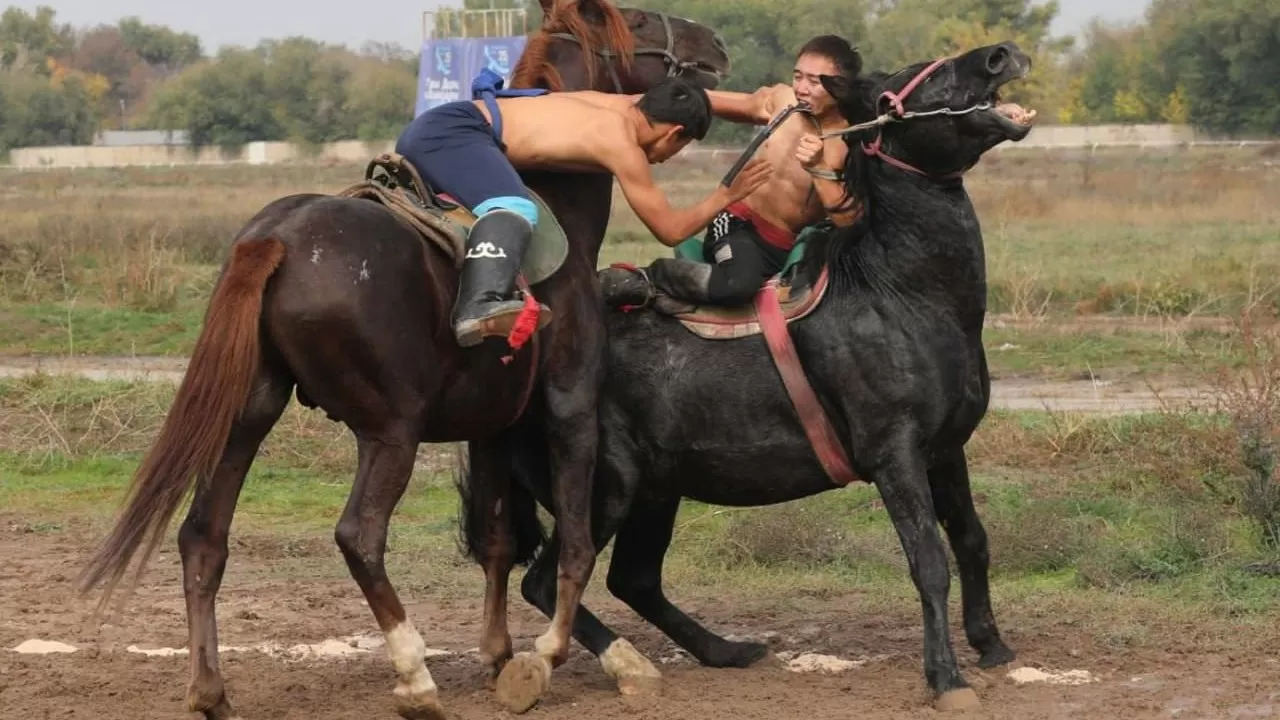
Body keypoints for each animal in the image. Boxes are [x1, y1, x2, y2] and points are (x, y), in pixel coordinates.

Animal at [72, 1, 732, 717]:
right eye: (639, 20)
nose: (715, 41)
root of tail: (277, 237)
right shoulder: (569, 406)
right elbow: (577, 549)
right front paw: (547, 660)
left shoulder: (492, 427)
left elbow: (498, 541)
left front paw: (498, 654)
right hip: (391, 430)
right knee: (359, 535)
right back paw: (415, 677)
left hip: (250, 414)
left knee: (203, 535)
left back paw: (210, 688)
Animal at [465, 41, 1044, 707]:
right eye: (898, 89)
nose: (1000, 56)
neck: (898, 294)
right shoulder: (895, 455)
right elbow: (929, 559)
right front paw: (946, 677)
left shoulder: (946, 450)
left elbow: (972, 540)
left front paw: (992, 645)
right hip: (607, 489)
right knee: (549, 578)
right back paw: (622, 666)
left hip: (657, 491)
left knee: (633, 579)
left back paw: (725, 650)